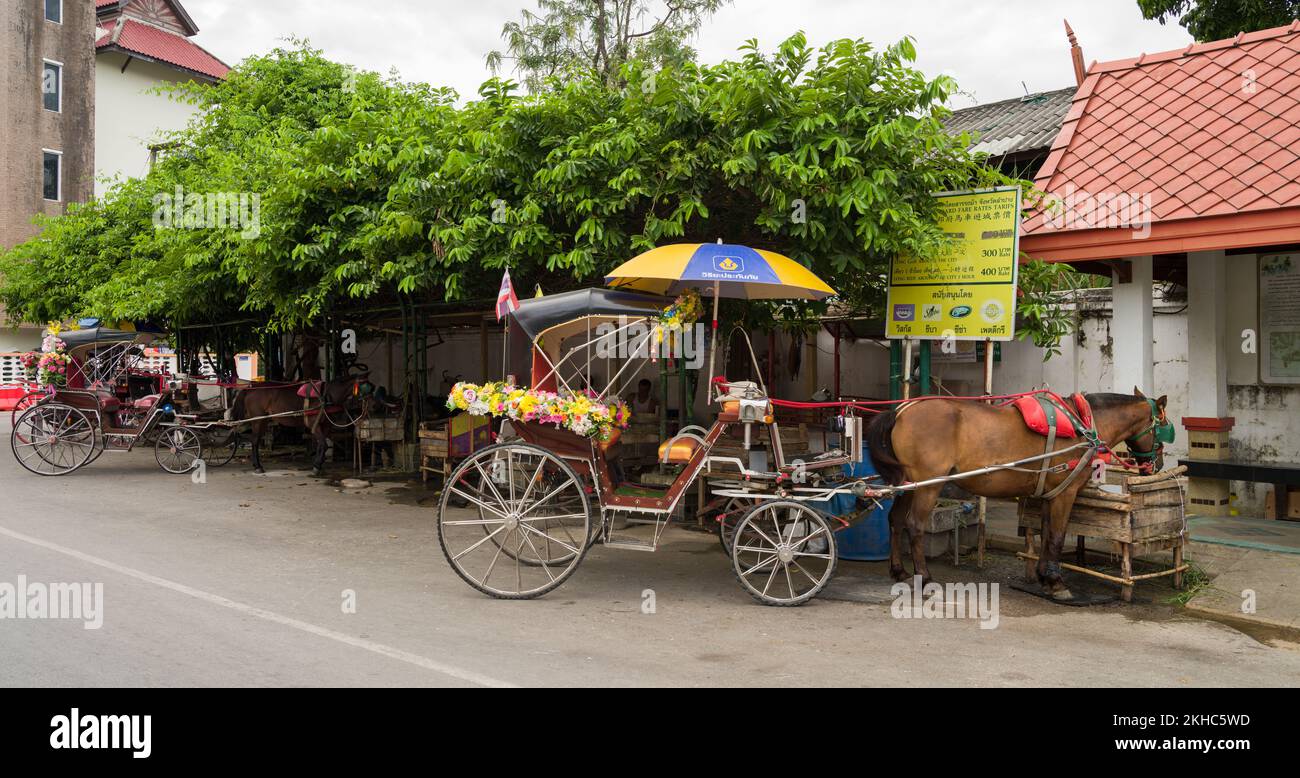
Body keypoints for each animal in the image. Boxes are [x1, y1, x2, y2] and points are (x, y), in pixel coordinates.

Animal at [231, 377, 364, 478]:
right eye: (365, 387)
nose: (365, 409)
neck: (326, 395)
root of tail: (251, 388)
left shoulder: (325, 426)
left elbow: (322, 445)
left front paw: (319, 464)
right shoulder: (314, 424)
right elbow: (323, 444)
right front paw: (316, 467)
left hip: (263, 420)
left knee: (256, 440)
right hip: (258, 420)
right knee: (254, 441)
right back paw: (258, 466)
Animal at [863, 390, 1170, 603]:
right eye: (1161, 427)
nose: (1156, 465)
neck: (1083, 423)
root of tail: (902, 410)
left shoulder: (1050, 493)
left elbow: (1046, 535)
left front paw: (1045, 577)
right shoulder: (1066, 493)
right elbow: (1057, 536)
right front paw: (1057, 584)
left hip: (908, 483)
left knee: (895, 520)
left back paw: (899, 571)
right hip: (928, 485)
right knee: (914, 525)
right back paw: (925, 579)